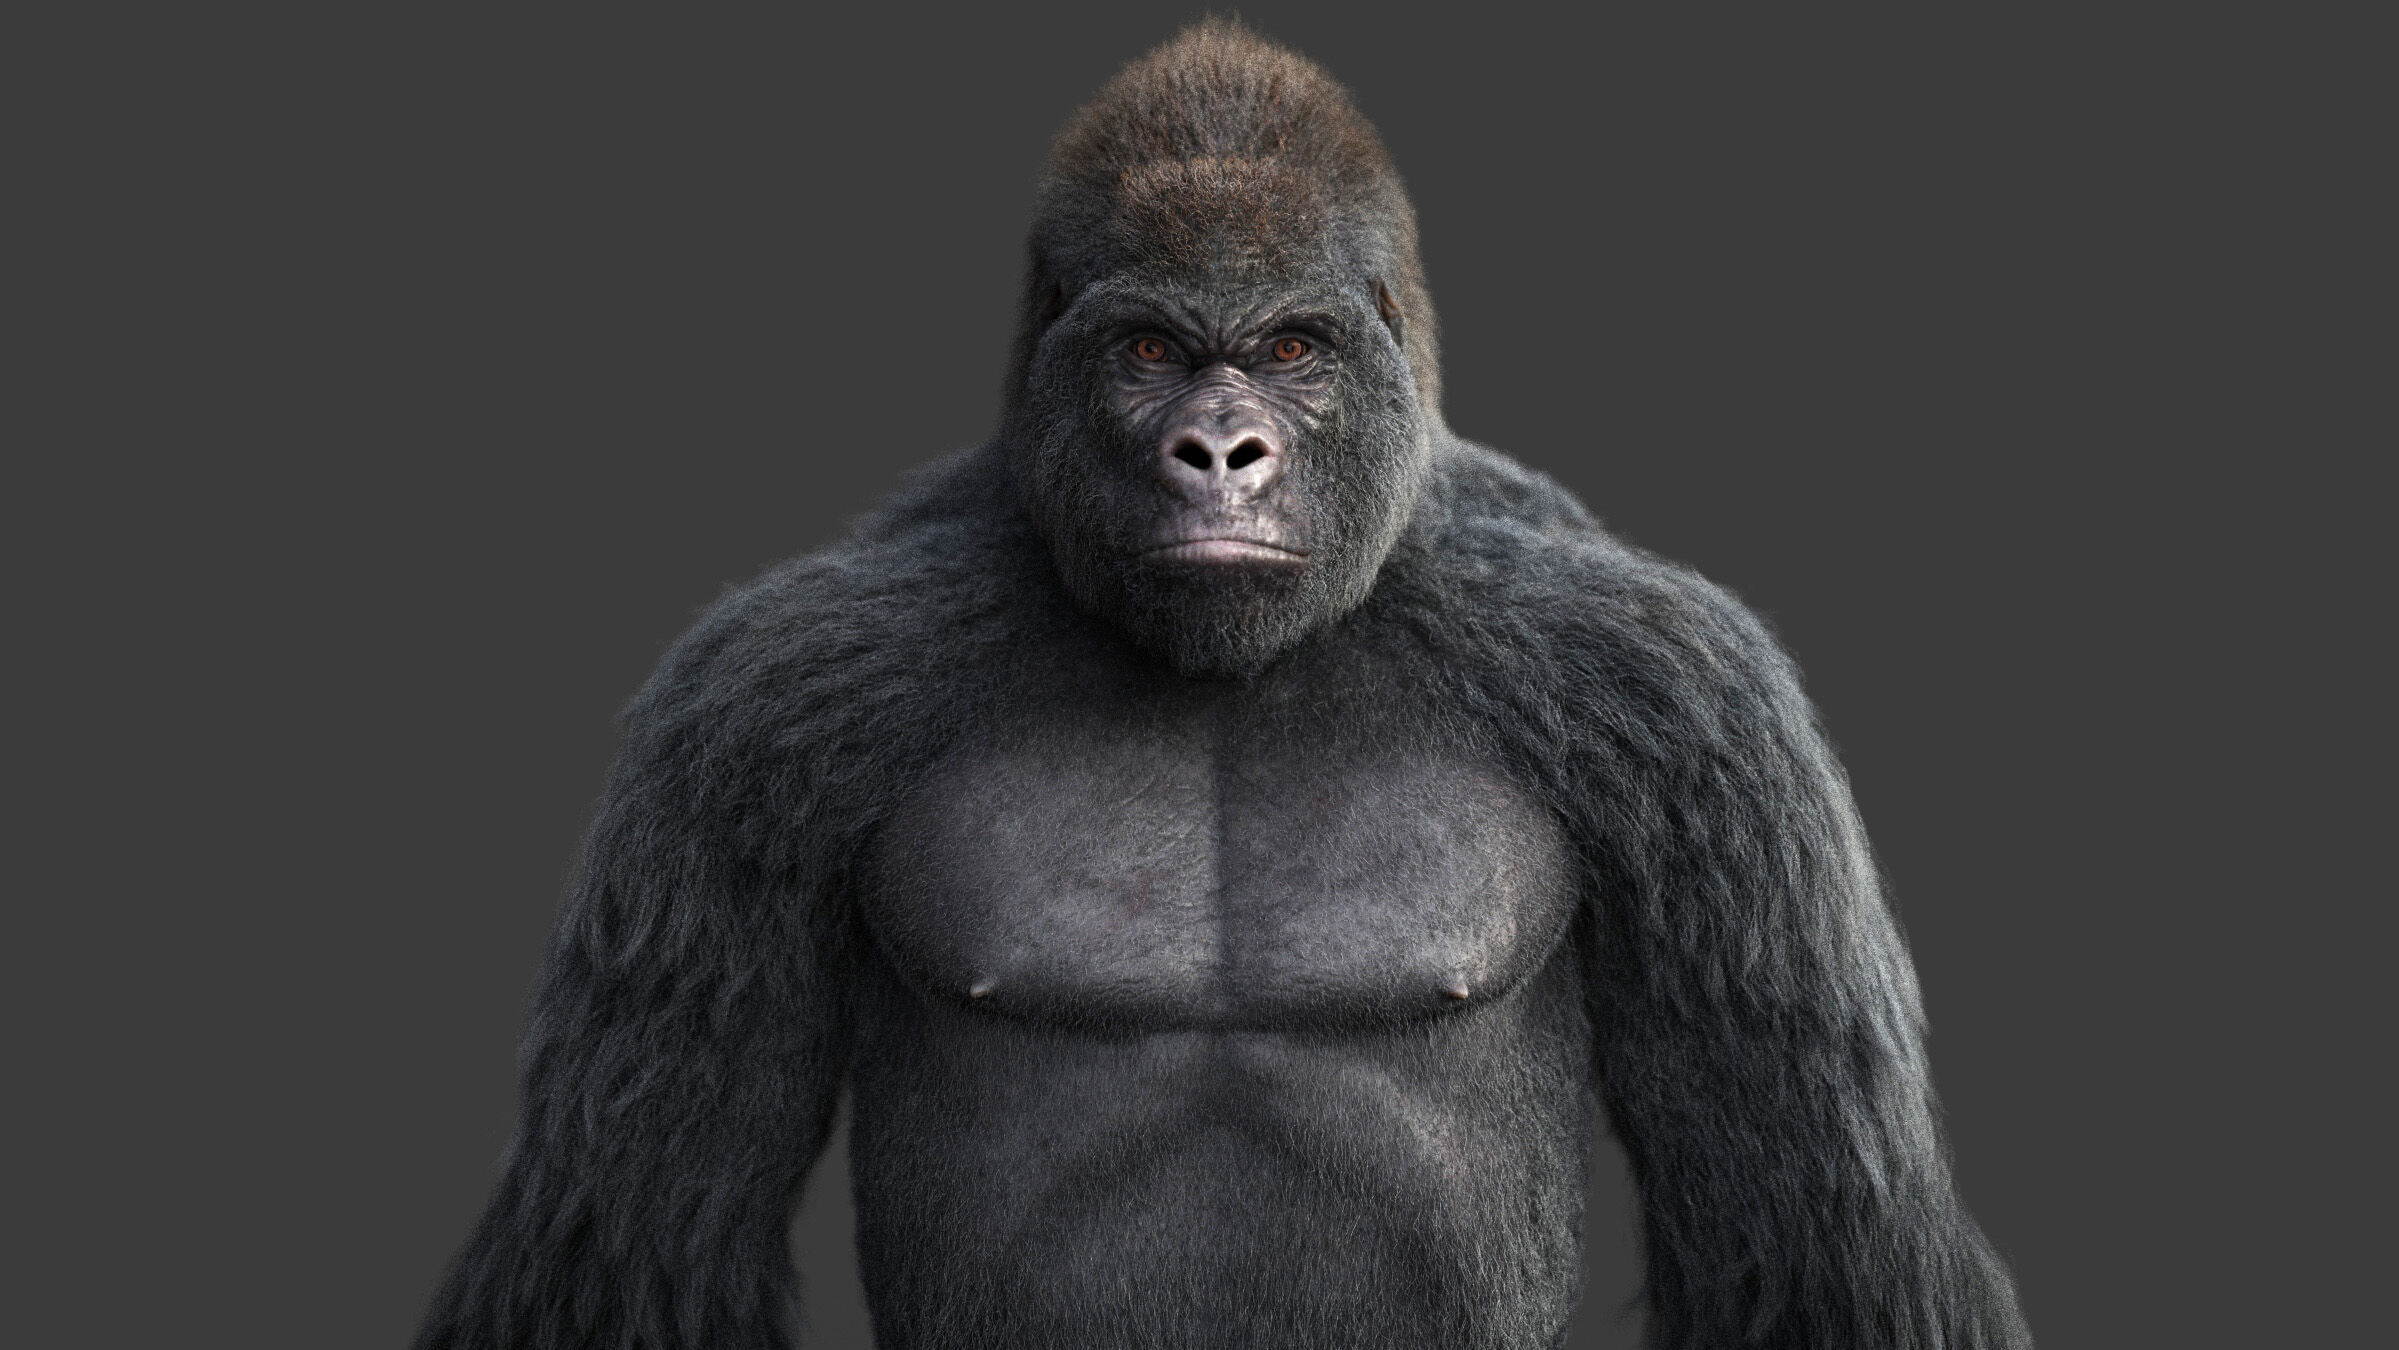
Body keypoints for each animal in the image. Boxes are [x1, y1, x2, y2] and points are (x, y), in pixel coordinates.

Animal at [417, 21, 2031, 1349]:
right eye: (1148, 350)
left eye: (1291, 349)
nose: (1220, 452)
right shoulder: (753, 709)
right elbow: (636, 1234)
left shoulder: (1687, 702)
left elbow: (1814, 1235)